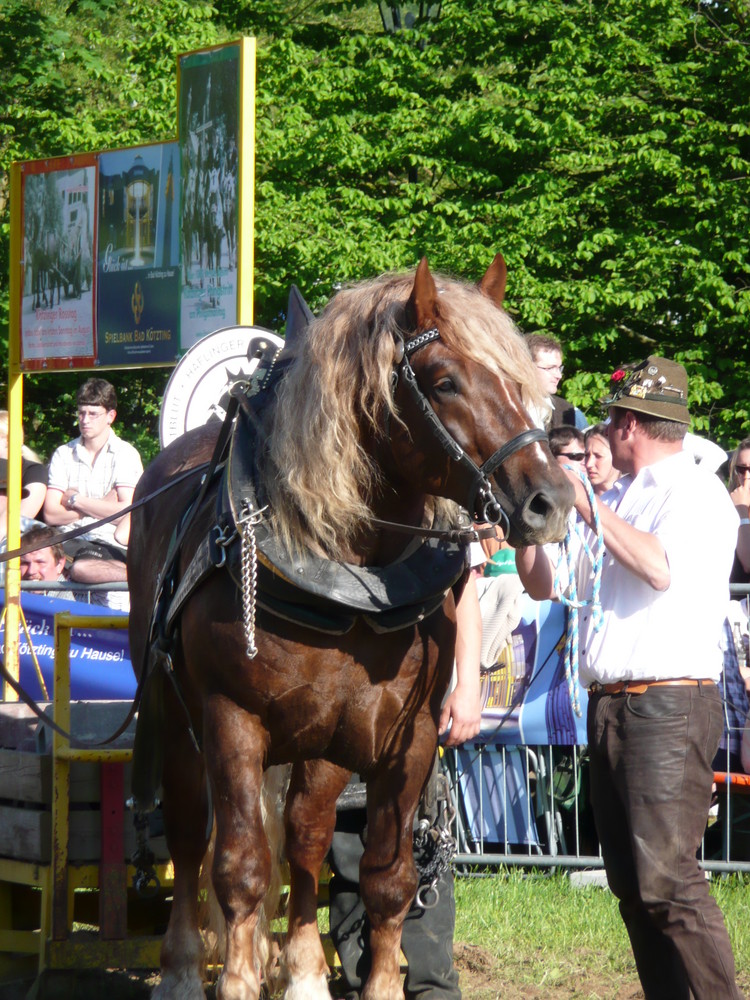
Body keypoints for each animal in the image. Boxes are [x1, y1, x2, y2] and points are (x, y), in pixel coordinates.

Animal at [129, 254, 576, 996]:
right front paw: (237, 978)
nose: (552, 501)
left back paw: (306, 970)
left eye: (524, 384)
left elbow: (385, 880)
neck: (346, 573)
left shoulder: (404, 736)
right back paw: (185, 967)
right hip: (175, 713)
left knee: (307, 837)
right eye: (445, 381)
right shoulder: (230, 720)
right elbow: (241, 867)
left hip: (321, 741)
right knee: (192, 832)